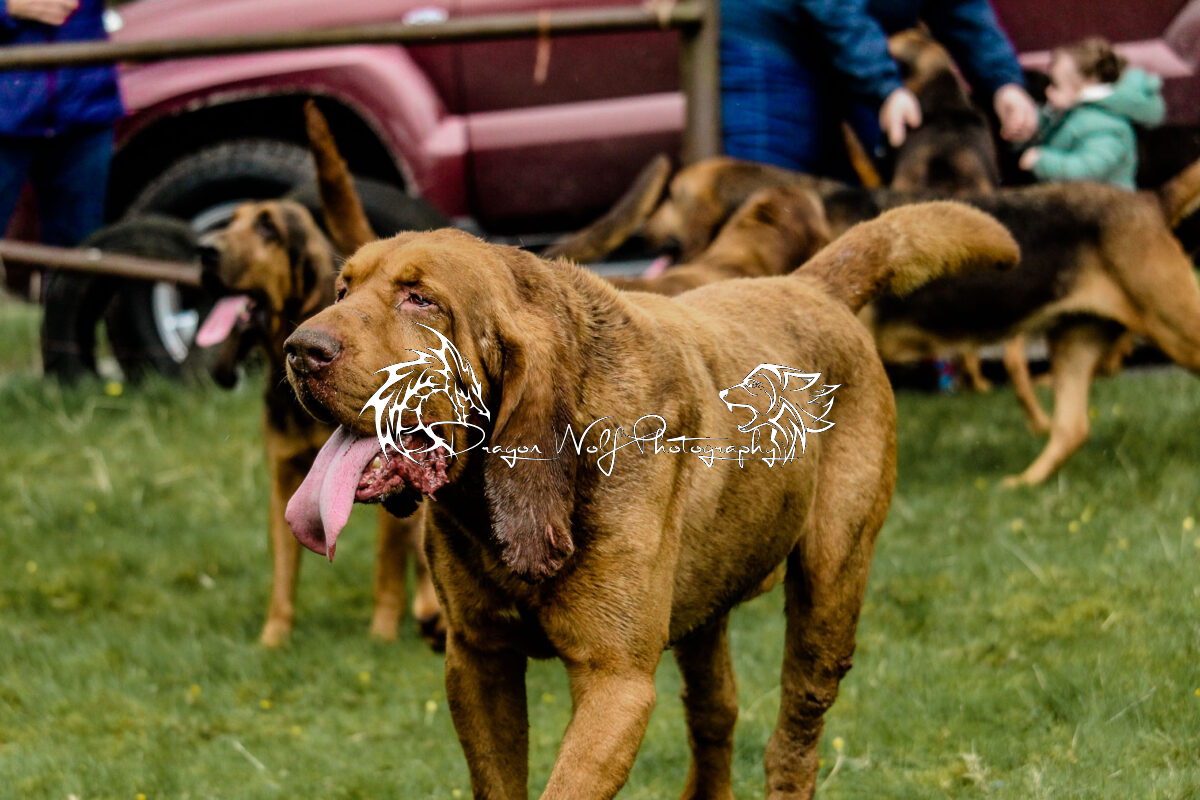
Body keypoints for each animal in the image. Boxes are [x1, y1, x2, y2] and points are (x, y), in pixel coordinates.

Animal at [192, 103, 443, 647]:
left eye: (268, 229)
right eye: (231, 221)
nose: (203, 250)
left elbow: (388, 569)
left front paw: (381, 635)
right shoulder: (286, 479)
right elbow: (284, 573)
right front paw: (273, 640)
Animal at [279, 201, 1017, 798]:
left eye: (420, 300)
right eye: (343, 287)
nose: (299, 349)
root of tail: (809, 285)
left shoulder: (616, 683)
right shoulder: (478, 662)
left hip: (828, 604)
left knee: (793, 743)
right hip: (706, 610)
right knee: (716, 716)